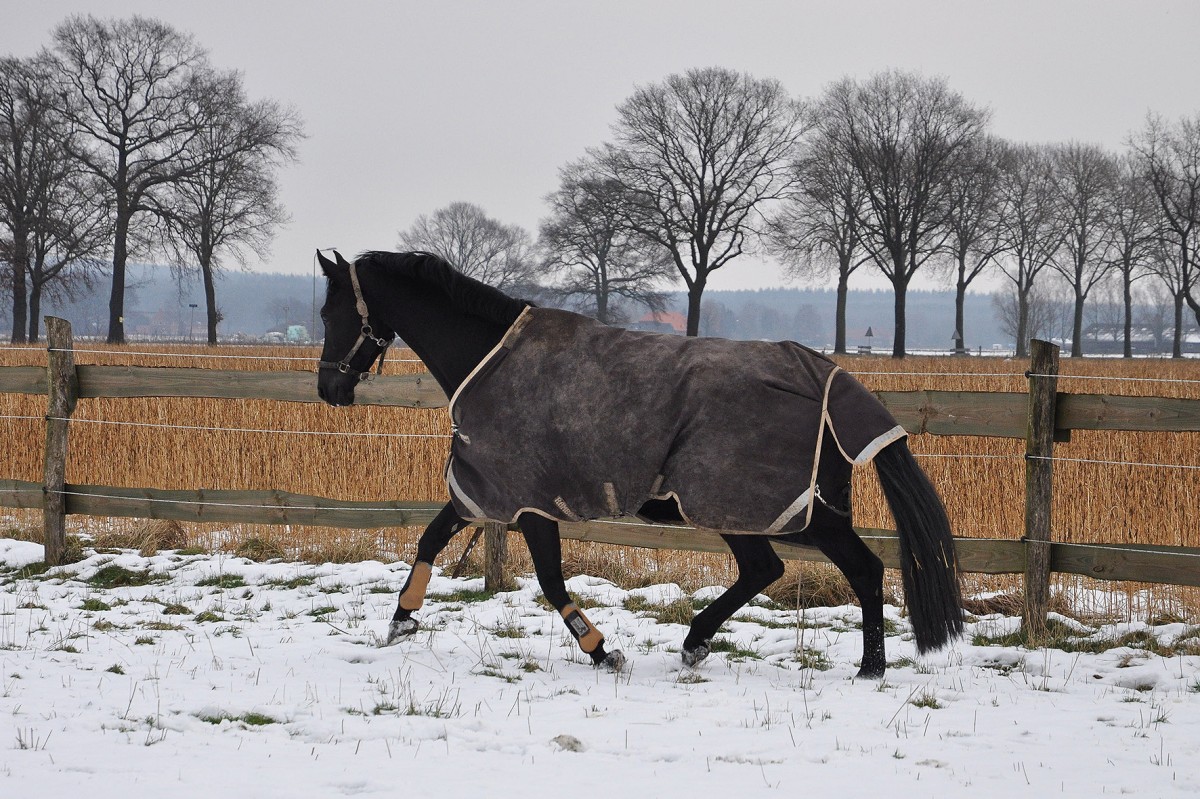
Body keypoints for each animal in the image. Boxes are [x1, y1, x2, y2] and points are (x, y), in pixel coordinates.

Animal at [314, 249, 960, 671]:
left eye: (328, 313)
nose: (329, 389)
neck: (491, 358)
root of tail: (828, 374)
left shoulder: (523, 499)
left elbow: (549, 578)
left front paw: (601, 649)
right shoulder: (491, 492)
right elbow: (431, 537)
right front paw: (401, 620)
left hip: (776, 506)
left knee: (861, 568)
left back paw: (870, 667)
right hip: (740, 509)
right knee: (764, 569)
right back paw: (697, 642)